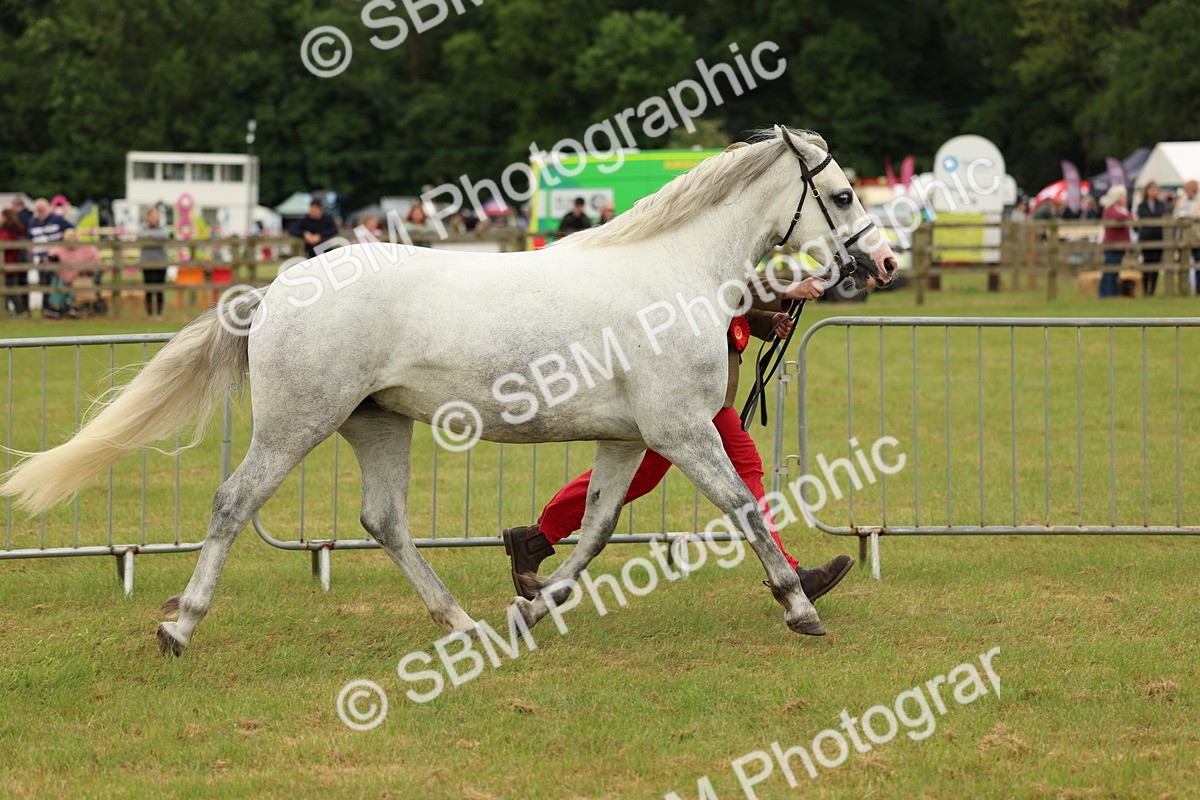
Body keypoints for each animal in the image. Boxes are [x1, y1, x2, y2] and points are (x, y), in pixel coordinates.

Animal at [1, 126, 896, 655]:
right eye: (843, 194)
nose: (884, 261)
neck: (675, 275)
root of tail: (278, 287)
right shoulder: (681, 430)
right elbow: (743, 507)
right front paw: (800, 606)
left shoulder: (629, 438)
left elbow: (598, 527)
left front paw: (532, 606)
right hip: (298, 424)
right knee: (233, 503)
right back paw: (180, 626)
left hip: (376, 424)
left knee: (385, 521)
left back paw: (461, 621)